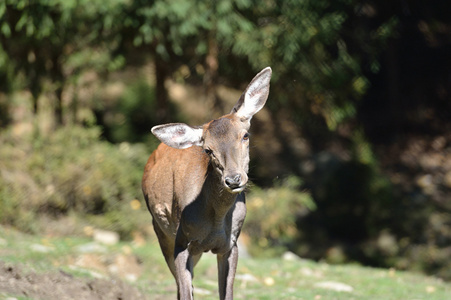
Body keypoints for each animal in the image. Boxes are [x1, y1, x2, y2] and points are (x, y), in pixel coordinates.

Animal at [141, 67, 272, 298]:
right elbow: (185, 292)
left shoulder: (231, 244)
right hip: (160, 230)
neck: (215, 220)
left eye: (245, 135)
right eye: (208, 150)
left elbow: (226, 293)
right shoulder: (181, 241)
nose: (233, 179)